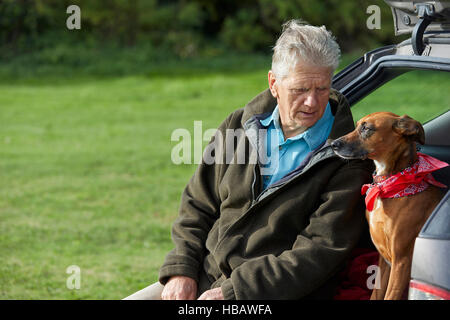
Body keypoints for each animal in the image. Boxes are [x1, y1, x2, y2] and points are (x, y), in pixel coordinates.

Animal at [328, 112, 448, 300]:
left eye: (367, 128)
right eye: (357, 125)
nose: (333, 144)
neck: (390, 186)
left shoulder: (401, 262)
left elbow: (389, 295)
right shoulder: (384, 262)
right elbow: (376, 295)